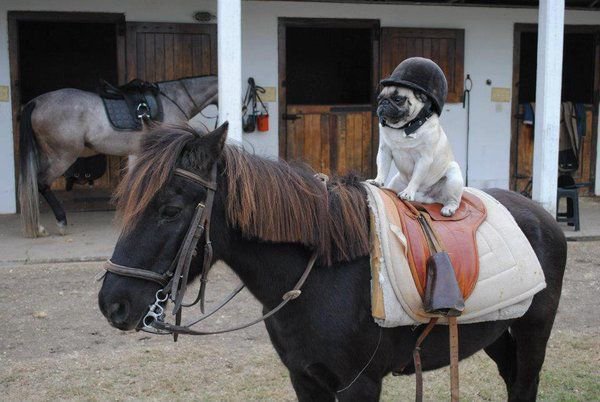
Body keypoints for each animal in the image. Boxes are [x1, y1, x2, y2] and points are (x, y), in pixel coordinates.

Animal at [98, 124, 568, 400]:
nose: (112, 303)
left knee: (525, 384)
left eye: (170, 210)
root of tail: (542, 214)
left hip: (534, 332)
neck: (322, 275)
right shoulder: (305, 378)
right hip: (497, 333)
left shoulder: (359, 384)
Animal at [370, 85, 464, 217]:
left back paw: (448, 208)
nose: (384, 102)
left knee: (454, 200)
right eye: (379, 99)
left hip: (453, 177)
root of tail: (429, 198)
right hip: (395, 183)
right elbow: (382, 169)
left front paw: (408, 192)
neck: (404, 127)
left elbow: (416, 178)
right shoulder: (384, 151)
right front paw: (378, 181)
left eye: (398, 99)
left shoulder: (423, 159)